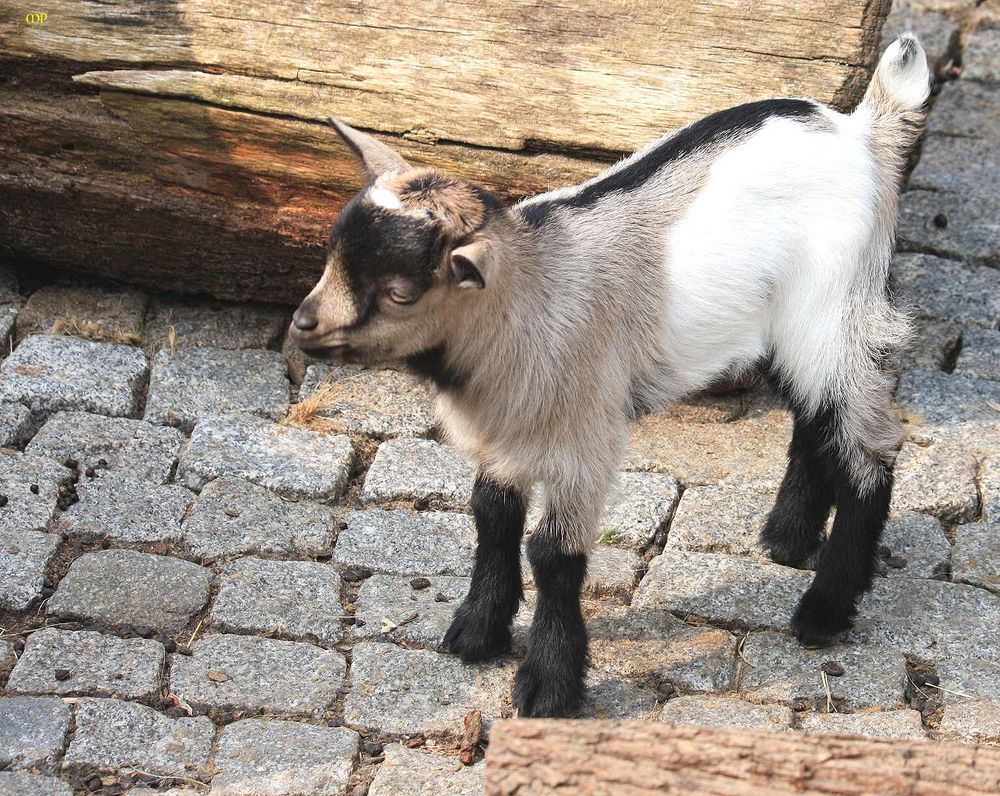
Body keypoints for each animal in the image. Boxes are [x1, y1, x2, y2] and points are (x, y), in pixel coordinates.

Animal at [290, 37, 928, 720]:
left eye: (400, 292)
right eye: (331, 253)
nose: (302, 325)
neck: (527, 299)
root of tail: (862, 128)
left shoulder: (584, 434)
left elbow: (553, 553)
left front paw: (548, 685)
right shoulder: (508, 429)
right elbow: (492, 514)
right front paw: (477, 633)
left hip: (836, 306)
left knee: (869, 447)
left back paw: (824, 611)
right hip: (788, 324)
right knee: (815, 417)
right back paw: (785, 539)